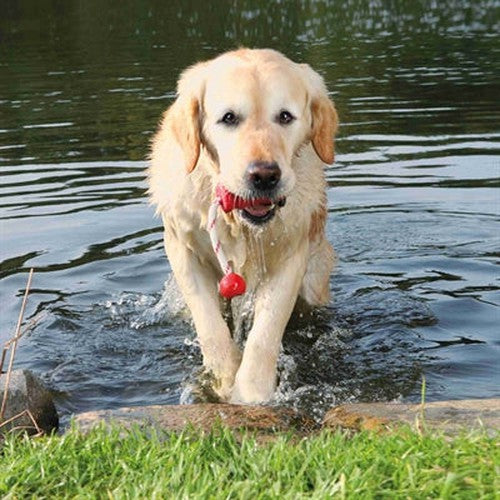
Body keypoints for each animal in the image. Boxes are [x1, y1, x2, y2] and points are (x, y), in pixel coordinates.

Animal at [146, 48, 338, 404]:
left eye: (285, 116)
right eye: (229, 118)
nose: (264, 176)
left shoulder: (291, 257)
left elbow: (265, 333)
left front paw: (251, 394)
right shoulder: (183, 252)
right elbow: (210, 327)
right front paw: (223, 380)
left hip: (315, 281)